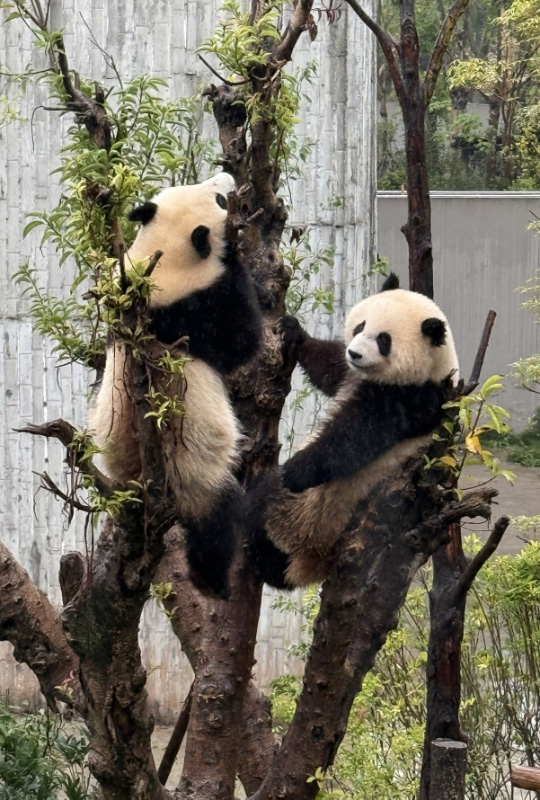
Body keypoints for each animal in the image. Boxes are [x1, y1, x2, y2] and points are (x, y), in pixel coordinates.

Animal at [89, 173, 262, 597]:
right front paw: (234, 253)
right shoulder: (194, 311)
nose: (227, 176)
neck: (163, 261)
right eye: (219, 200)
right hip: (192, 472)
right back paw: (213, 583)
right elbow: (242, 340)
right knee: (217, 520)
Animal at [247, 274, 459, 589]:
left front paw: (296, 470)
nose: (355, 353)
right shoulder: (353, 374)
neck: (433, 370)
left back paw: (266, 557)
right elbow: (330, 368)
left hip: (314, 514)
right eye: (361, 326)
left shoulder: (413, 399)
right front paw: (293, 331)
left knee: (263, 507)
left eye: (384, 340)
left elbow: (355, 438)